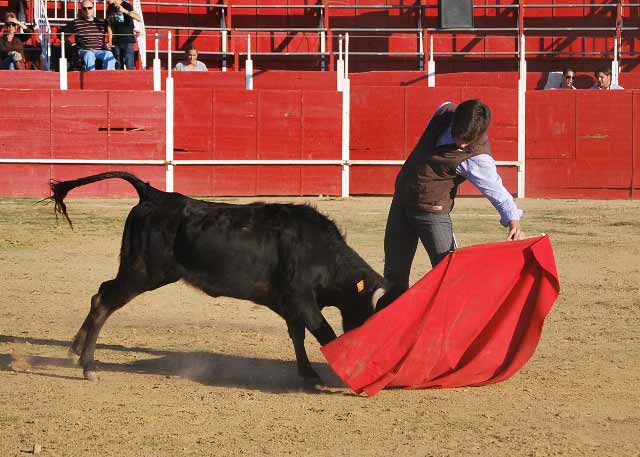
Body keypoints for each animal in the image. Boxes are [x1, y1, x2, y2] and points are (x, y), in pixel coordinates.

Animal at [47, 171, 388, 382]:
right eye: (367, 305)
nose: (365, 334)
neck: (321, 251)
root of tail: (153, 194)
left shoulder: (289, 304)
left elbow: (299, 334)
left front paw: (308, 374)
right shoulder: (301, 298)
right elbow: (324, 331)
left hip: (136, 270)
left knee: (100, 294)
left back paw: (74, 352)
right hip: (143, 272)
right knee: (105, 301)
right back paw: (88, 367)